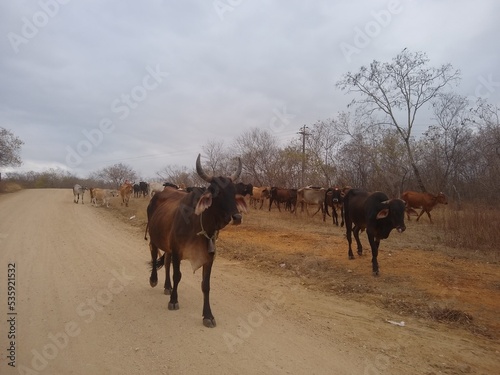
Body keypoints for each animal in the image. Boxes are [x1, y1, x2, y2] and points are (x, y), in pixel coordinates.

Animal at [147, 154, 247, 328]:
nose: (237, 217)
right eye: (216, 192)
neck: (199, 224)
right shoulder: (177, 252)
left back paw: (167, 286)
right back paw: (154, 280)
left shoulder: (209, 257)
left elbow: (206, 285)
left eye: (234, 192)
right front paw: (173, 301)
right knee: (154, 255)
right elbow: (178, 275)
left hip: (167, 246)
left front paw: (208, 315)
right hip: (154, 238)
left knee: (166, 261)